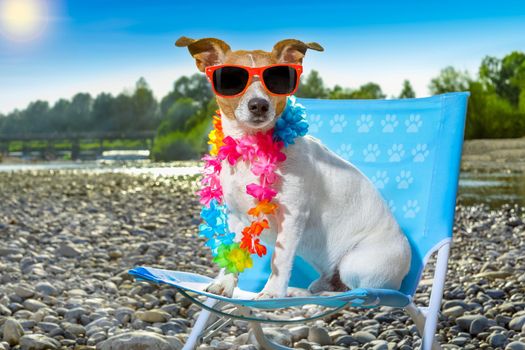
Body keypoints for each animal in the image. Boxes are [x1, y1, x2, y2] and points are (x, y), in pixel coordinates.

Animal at [176, 37, 410, 300]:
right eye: (230, 80)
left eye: (277, 80)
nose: (259, 105)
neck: (253, 150)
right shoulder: (236, 216)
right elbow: (234, 252)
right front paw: (224, 283)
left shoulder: (292, 216)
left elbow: (280, 259)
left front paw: (271, 293)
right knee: (325, 284)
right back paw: (301, 291)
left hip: (357, 264)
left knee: (363, 291)